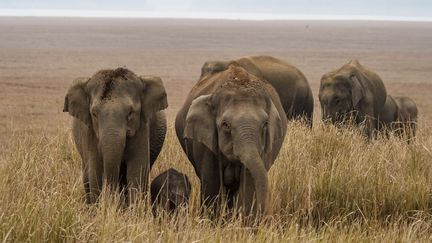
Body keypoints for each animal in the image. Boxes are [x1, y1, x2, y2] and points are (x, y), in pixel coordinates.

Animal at [63, 67, 168, 204]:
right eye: (94, 114)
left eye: (130, 113)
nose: (111, 198)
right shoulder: (89, 133)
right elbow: (95, 171)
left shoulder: (142, 127)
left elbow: (137, 171)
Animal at [174, 62, 288, 216]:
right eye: (225, 125)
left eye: (265, 124)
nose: (266, 212)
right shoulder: (206, 145)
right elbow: (212, 183)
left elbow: (249, 184)